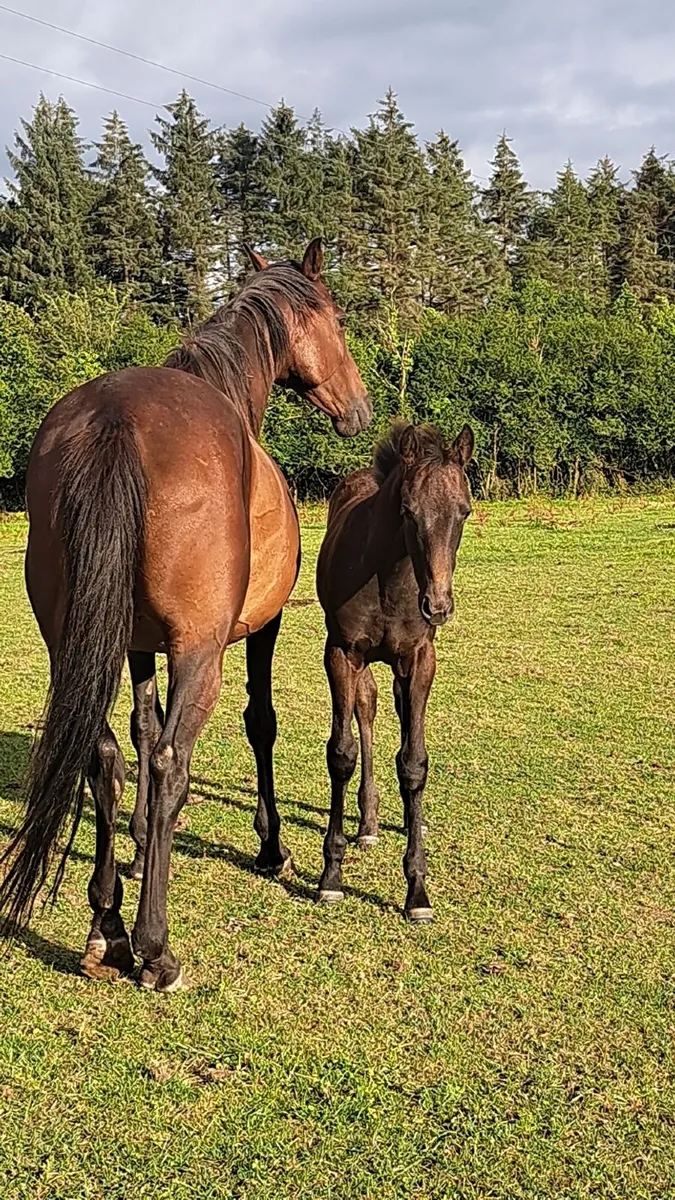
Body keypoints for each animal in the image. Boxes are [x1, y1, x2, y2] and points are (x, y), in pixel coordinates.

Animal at [0, 238, 371, 992]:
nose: (360, 409)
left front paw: (143, 846)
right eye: (338, 320)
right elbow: (258, 724)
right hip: (202, 652)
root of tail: (113, 419)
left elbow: (140, 730)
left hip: (74, 644)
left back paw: (106, 927)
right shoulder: (255, 630)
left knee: (103, 753)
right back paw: (154, 948)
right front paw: (272, 847)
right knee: (174, 759)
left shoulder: (137, 645)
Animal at [315, 421, 473, 921]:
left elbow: (413, 761)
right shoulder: (341, 653)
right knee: (365, 711)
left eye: (464, 511)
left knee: (400, 715)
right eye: (407, 511)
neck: (393, 580)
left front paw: (417, 889)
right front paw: (331, 876)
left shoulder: (420, 659)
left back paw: (407, 821)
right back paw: (367, 823)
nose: (438, 606)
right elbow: (341, 753)